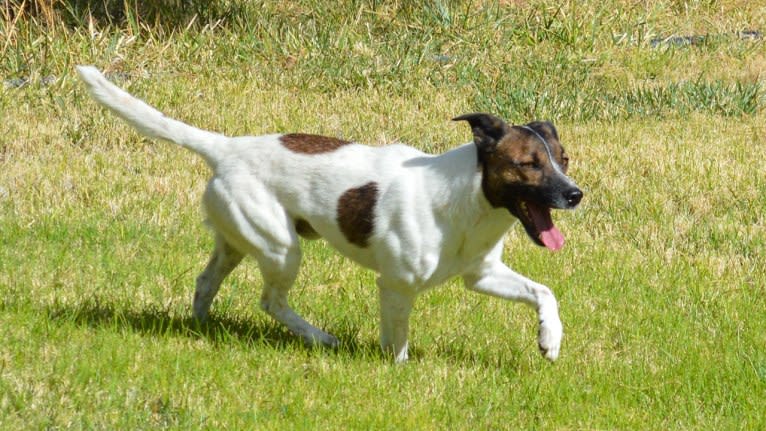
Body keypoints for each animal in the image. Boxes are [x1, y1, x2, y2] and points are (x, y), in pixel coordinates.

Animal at [76, 66, 584, 362]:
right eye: (528, 164)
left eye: (563, 158)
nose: (575, 194)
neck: (468, 200)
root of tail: (227, 147)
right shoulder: (396, 286)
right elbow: (397, 342)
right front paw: (397, 370)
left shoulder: (481, 274)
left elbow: (545, 293)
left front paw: (550, 340)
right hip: (281, 247)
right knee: (270, 301)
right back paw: (318, 338)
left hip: (237, 240)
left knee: (205, 282)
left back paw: (202, 327)